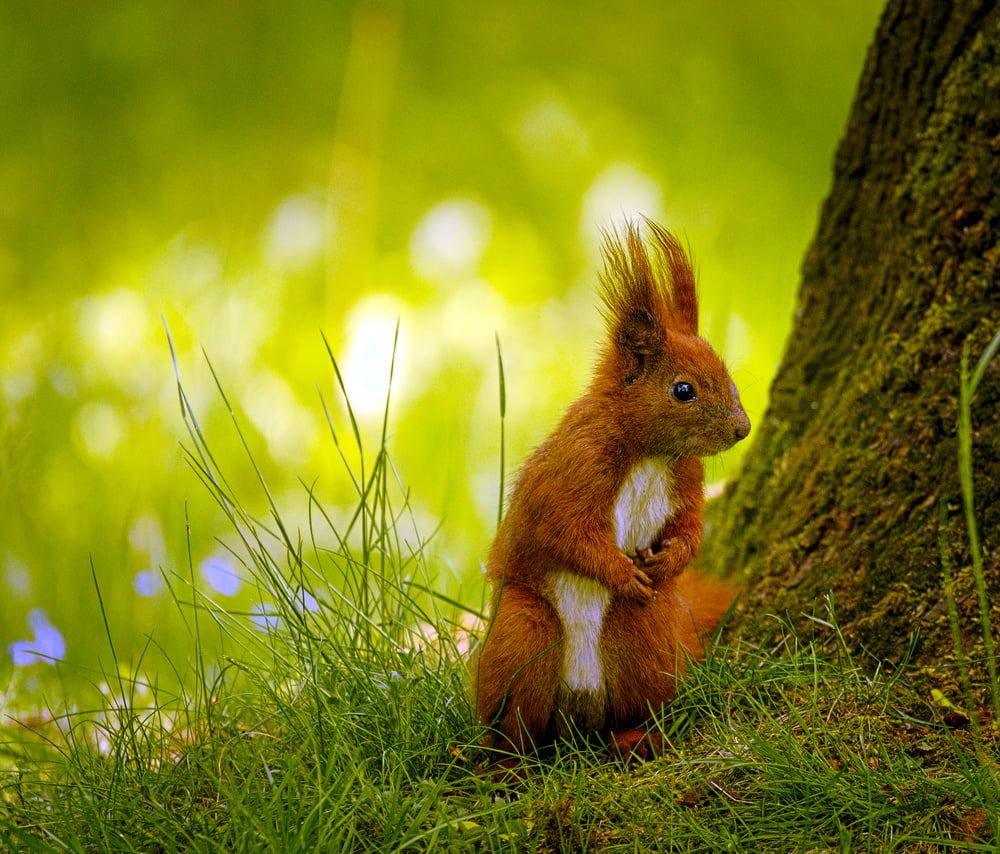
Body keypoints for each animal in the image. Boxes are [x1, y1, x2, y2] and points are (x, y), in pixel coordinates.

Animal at [472, 218, 750, 760]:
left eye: (726, 373)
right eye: (683, 390)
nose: (742, 429)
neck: (650, 452)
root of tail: (579, 718)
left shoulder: (686, 481)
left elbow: (691, 527)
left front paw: (669, 560)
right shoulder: (575, 471)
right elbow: (568, 534)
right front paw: (621, 573)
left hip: (645, 640)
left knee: (637, 705)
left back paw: (636, 736)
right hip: (521, 634)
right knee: (515, 721)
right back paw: (508, 763)